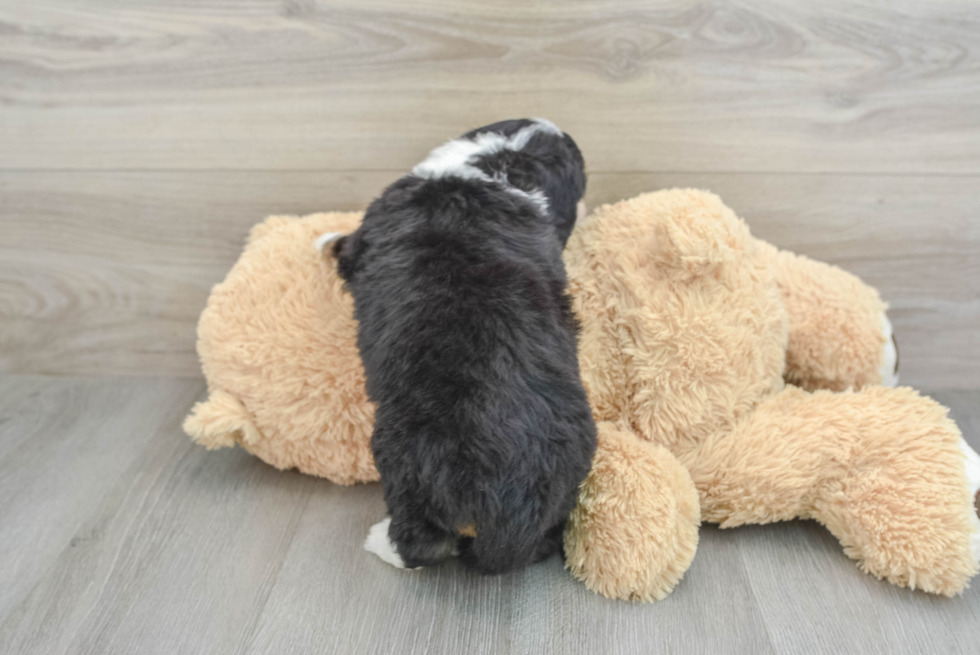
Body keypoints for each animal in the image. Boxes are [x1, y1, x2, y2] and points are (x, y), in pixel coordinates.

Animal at [326, 120, 592, 576]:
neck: (504, 161)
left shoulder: (365, 234)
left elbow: (342, 245)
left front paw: (322, 237)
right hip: (569, 476)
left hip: (404, 459)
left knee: (422, 544)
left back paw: (382, 543)